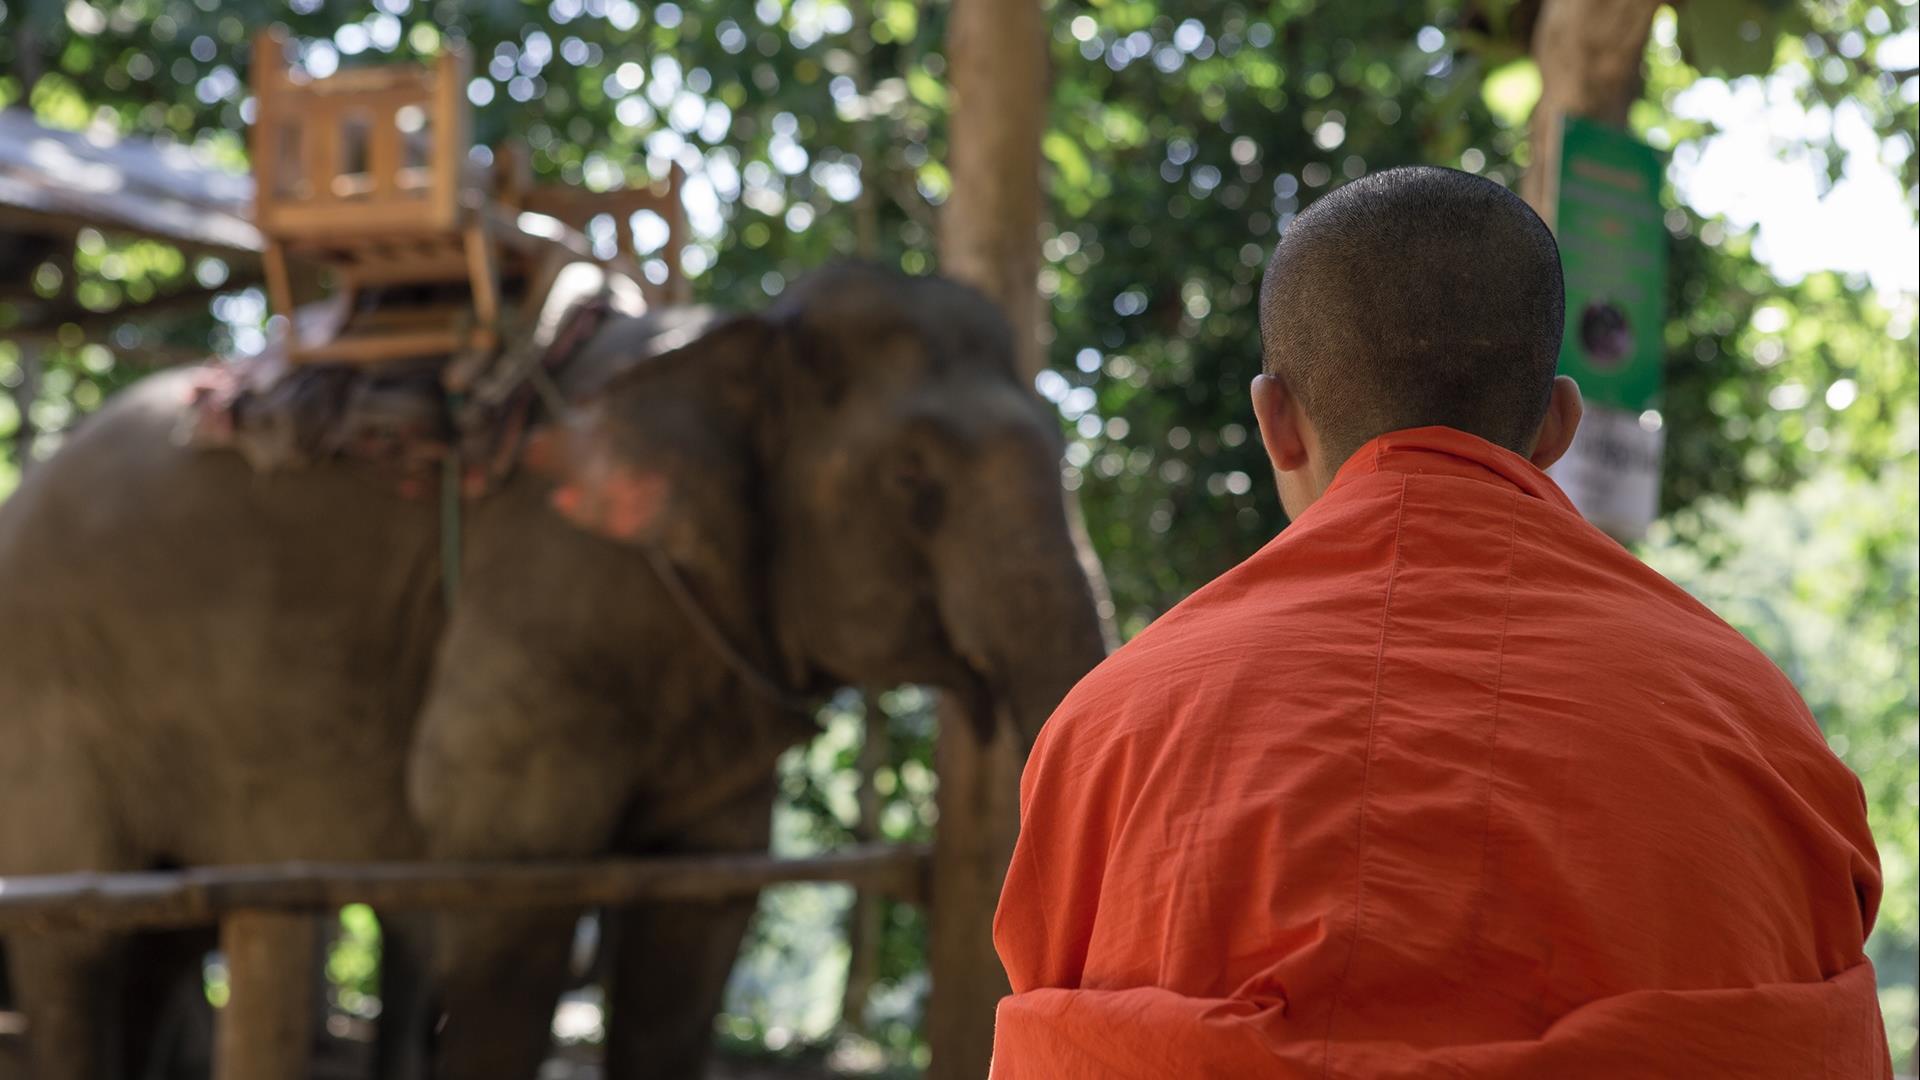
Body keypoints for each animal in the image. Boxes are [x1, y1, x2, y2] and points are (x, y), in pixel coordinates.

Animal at [0, 262, 1108, 1079]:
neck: (729, 337)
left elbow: (698, 924)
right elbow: (507, 889)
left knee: (157, 938)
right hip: (52, 703)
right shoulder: (541, 601)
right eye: (914, 479)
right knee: (75, 947)